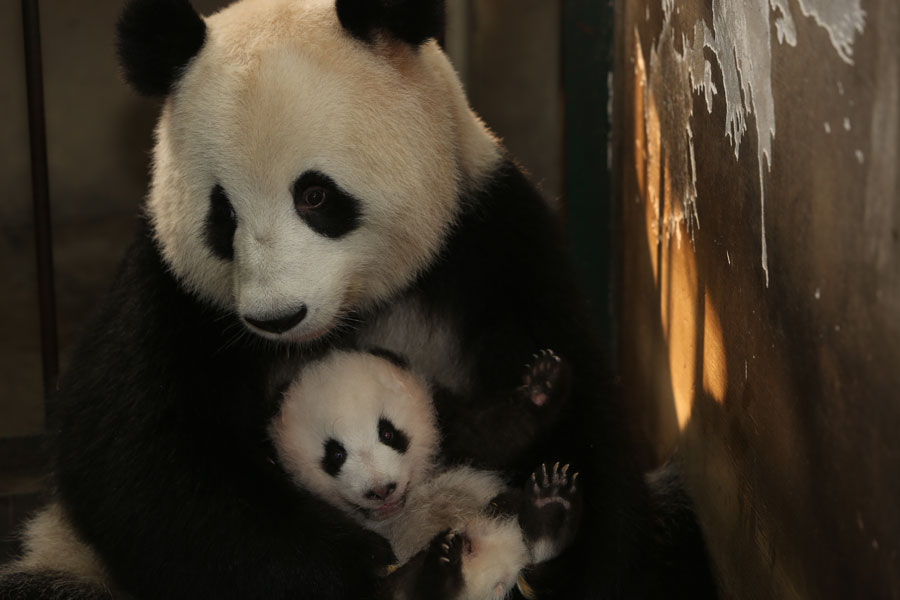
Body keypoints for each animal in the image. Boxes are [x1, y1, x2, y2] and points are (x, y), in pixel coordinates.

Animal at [0, 0, 696, 596]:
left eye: (315, 195)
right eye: (222, 215)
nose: (276, 317)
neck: (346, 316)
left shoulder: (488, 242)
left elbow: (583, 414)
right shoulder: (174, 296)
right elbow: (136, 459)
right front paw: (371, 572)